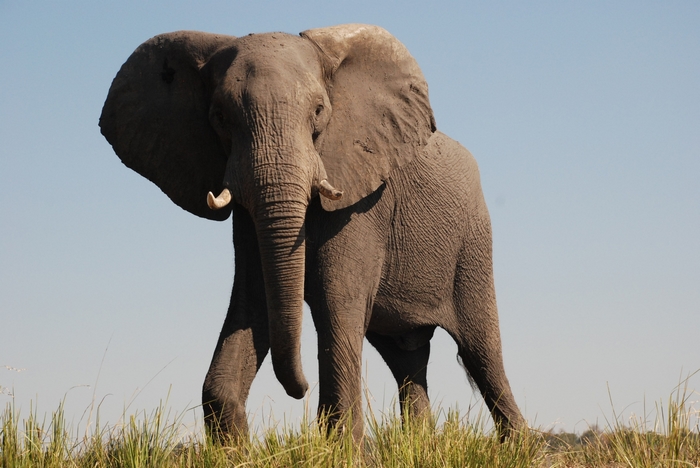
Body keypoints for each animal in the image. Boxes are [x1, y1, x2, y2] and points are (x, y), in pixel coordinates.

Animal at [100, 23, 524, 441]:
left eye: (319, 111)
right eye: (219, 116)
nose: (298, 390)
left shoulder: (362, 200)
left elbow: (334, 302)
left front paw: (343, 448)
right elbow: (255, 300)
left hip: (472, 242)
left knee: (481, 351)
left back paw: (520, 445)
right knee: (407, 359)